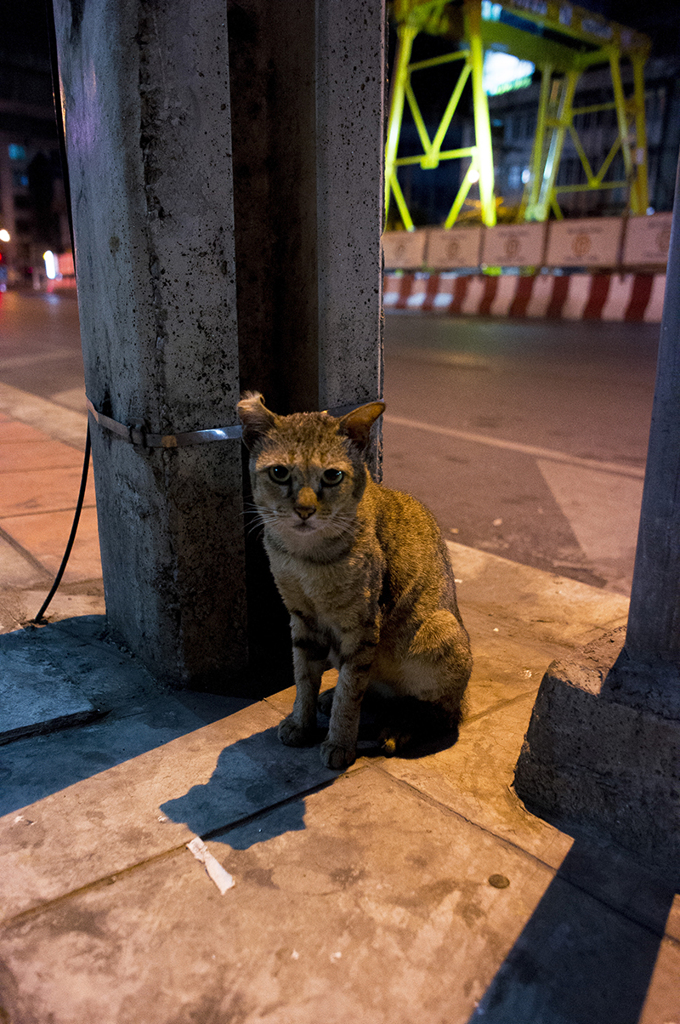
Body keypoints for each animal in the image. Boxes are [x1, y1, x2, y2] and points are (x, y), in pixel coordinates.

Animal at [238, 391, 473, 770]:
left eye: (333, 476)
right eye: (279, 472)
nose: (304, 510)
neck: (305, 557)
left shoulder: (361, 625)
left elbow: (350, 695)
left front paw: (339, 741)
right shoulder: (300, 619)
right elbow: (303, 678)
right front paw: (302, 722)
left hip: (440, 632)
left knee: (438, 712)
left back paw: (398, 729)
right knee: (373, 692)